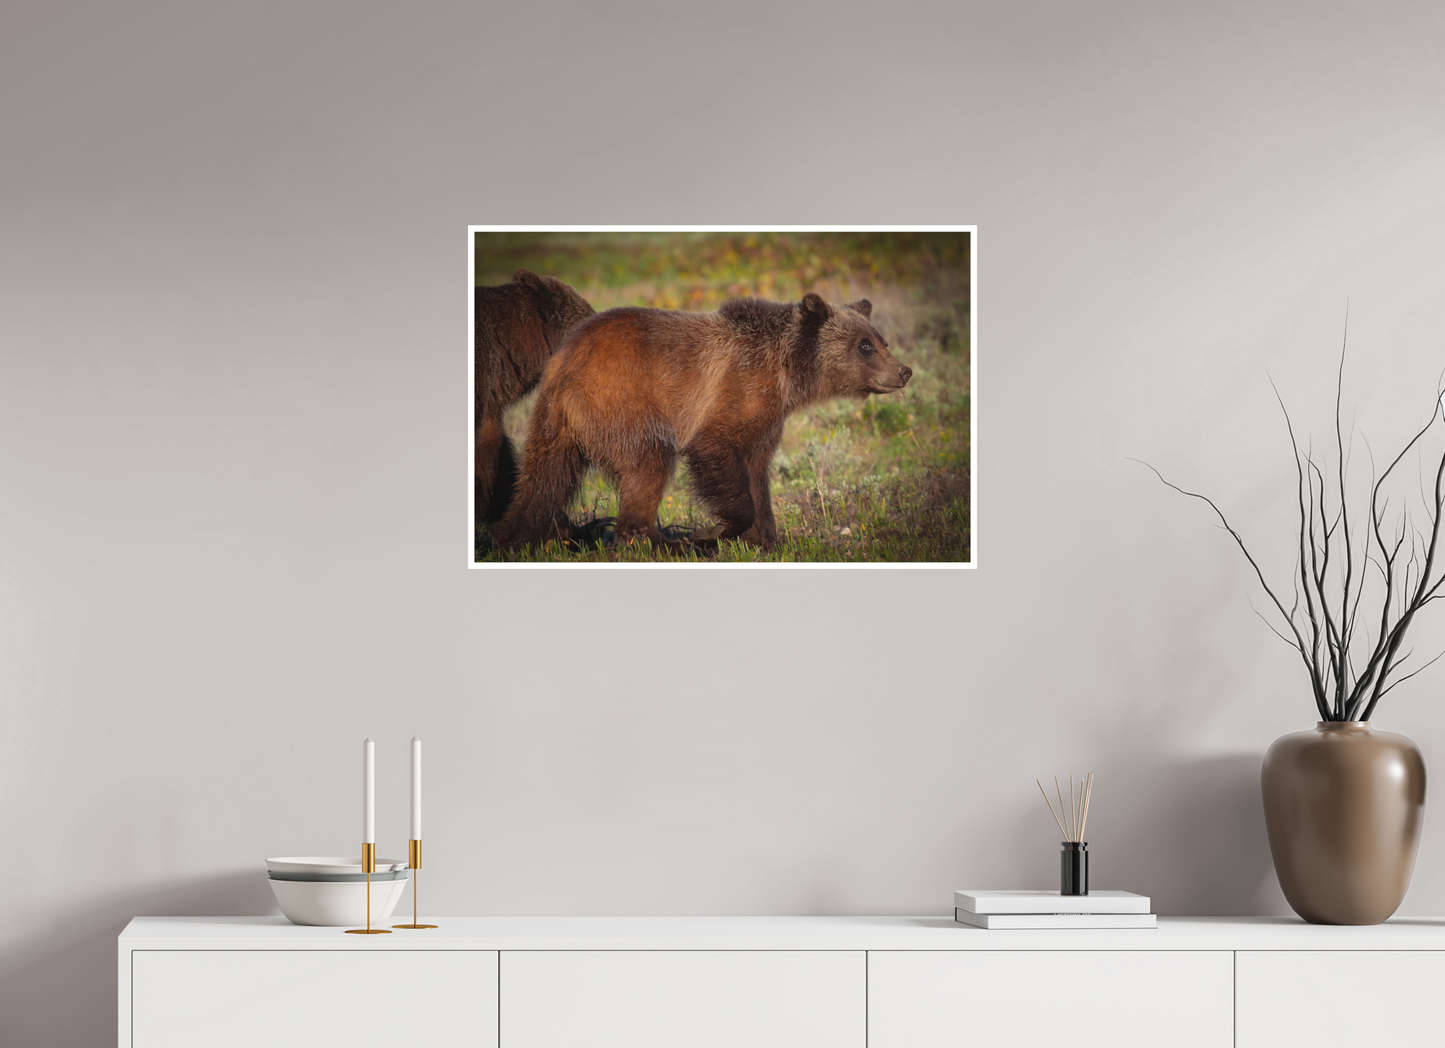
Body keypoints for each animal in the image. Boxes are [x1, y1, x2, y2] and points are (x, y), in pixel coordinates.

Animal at [492, 293, 912, 550]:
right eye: (864, 345)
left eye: (883, 340)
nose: (904, 371)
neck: (785, 372)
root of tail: (562, 360)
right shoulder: (736, 388)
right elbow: (716, 450)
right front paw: (718, 530)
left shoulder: (766, 419)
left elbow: (758, 471)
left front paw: (769, 539)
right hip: (621, 401)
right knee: (649, 460)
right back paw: (663, 542)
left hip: (556, 425)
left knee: (544, 479)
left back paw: (513, 536)